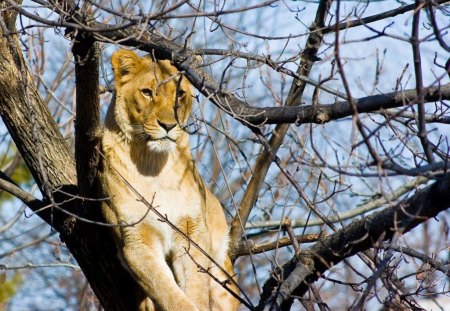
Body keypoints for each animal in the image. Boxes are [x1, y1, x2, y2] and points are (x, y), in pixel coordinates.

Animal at [98, 50, 239, 310]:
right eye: (147, 92)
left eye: (180, 94)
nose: (168, 125)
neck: (153, 164)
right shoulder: (136, 241)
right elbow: (167, 292)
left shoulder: (192, 229)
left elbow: (195, 284)